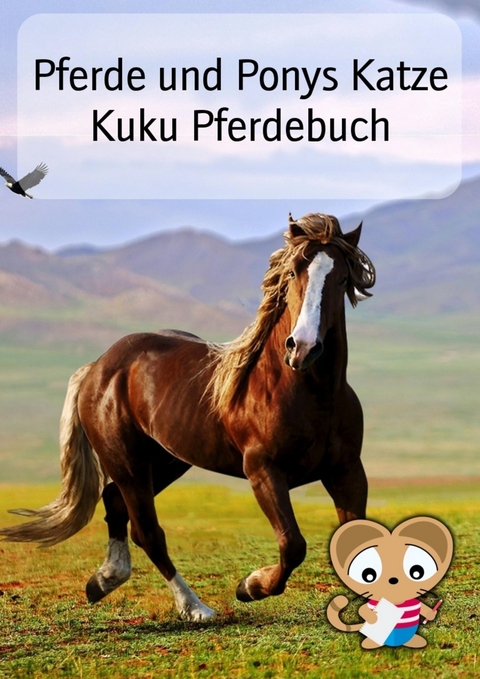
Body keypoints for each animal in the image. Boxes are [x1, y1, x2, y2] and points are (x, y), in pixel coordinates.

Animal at [0, 213, 375, 622]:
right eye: (293, 272)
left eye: (342, 278)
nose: (303, 347)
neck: (309, 394)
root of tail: (97, 367)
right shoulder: (263, 471)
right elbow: (292, 544)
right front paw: (250, 586)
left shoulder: (347, 471)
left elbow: (357, 537)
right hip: (128, 462)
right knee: (148, 531)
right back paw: (194, 607)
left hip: (166, 462)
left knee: (115, 503)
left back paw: (104, 580)